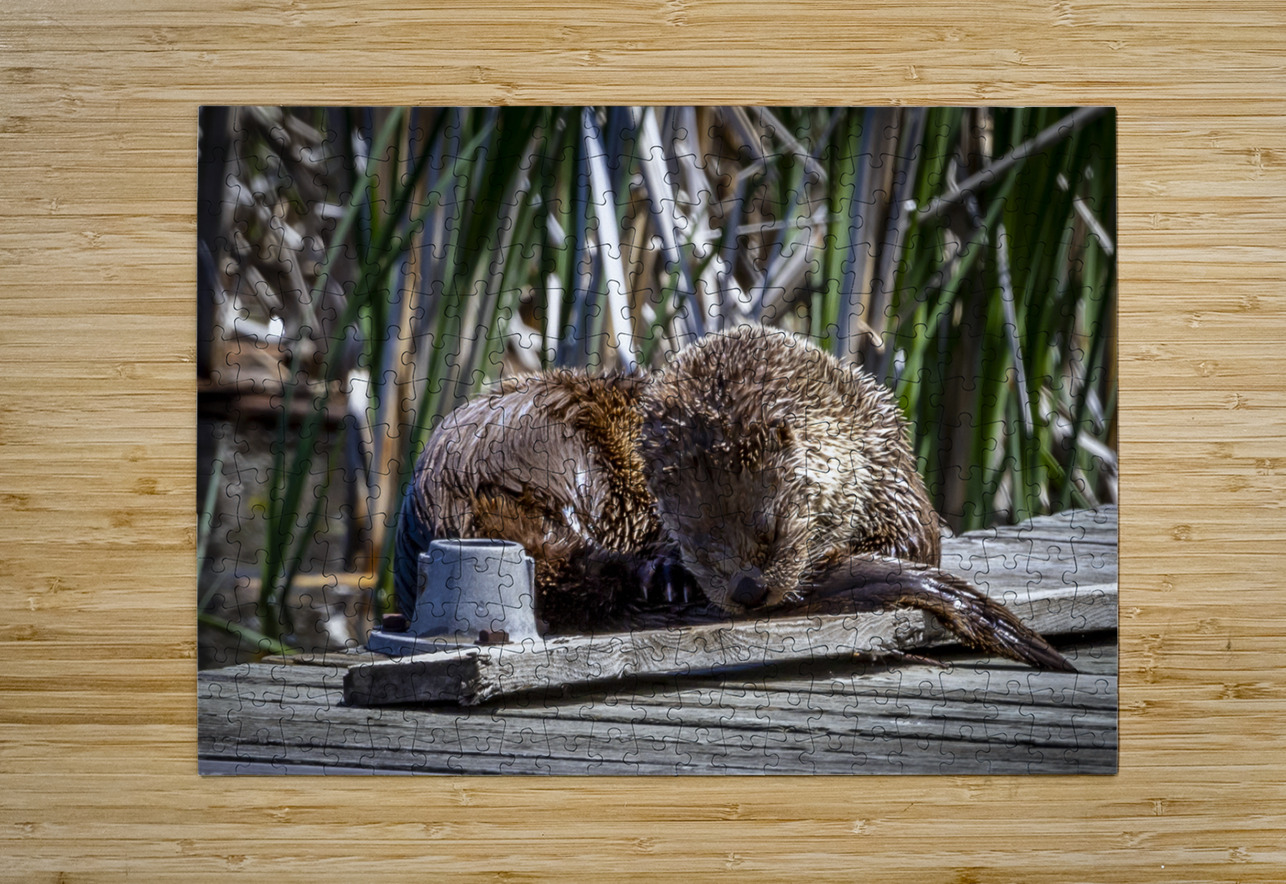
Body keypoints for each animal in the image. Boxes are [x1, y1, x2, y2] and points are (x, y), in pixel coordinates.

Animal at [639, 325, 1074, 672]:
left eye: (772, 529)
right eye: (698, 549)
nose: (749, 591)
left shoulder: (886, 464)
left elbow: (916, 544)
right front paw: (668, 574)